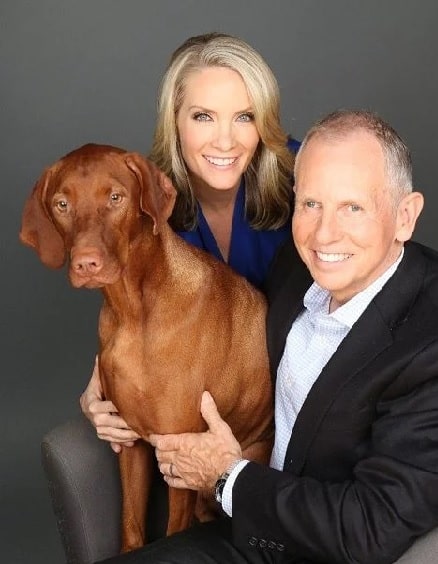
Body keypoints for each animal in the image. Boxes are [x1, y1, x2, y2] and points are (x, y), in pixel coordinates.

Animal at [20, 143, 274, 552]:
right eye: (61, 204)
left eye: (115, 197)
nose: (86, 264)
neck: (133, 312)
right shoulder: (130, 441)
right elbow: (132, 523)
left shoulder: (179, 450)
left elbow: (173, 528)